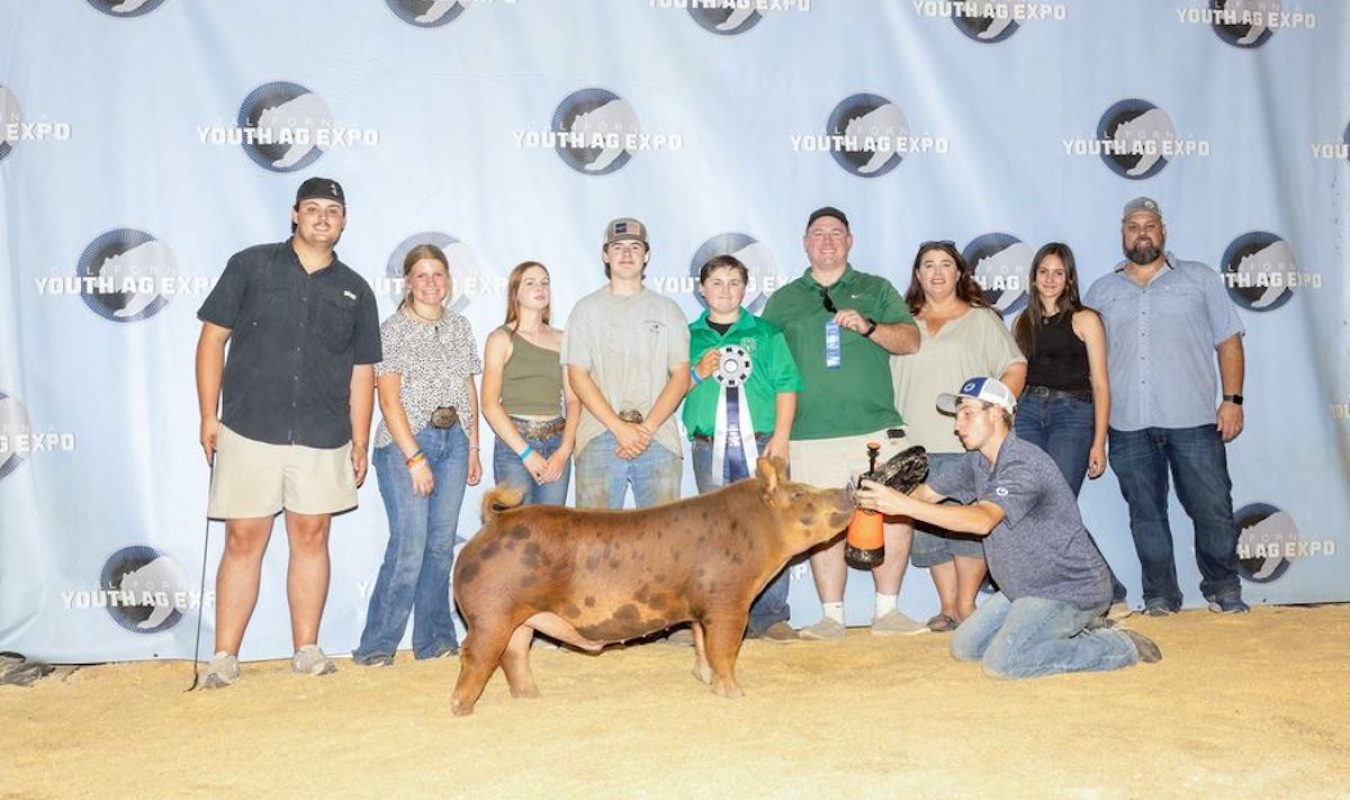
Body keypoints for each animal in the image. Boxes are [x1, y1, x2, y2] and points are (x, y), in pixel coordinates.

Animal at [453, 458, 853, 712]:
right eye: (799, 494)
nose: (847, 489)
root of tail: (492, 524)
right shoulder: (728, 600)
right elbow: (724, 649)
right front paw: (735, 695)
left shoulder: (699, 610)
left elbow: (701, 645)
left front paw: (705, 681)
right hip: (491, 613)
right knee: (476, 655)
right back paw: (462, 708)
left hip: (520, 617)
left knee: (514, 655)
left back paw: (532, 698)